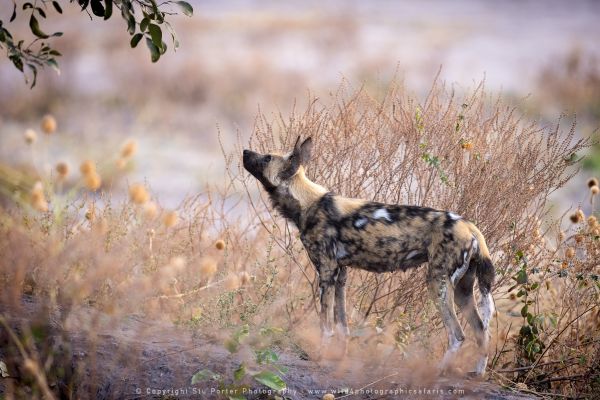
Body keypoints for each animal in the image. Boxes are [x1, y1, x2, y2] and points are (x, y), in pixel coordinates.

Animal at [243, 136, 496, 376]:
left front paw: (320, 356)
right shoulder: (340, 276)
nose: (245, 151)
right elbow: (343, 326)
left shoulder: (326, 273)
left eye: (267, 158)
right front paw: (340, 357)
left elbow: (326, 325)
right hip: (462, 291)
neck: (308, 203)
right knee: (482, 331)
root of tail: (469, 226)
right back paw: (477, 373)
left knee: (458, 334)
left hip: (438, 283)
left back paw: (439, 370)